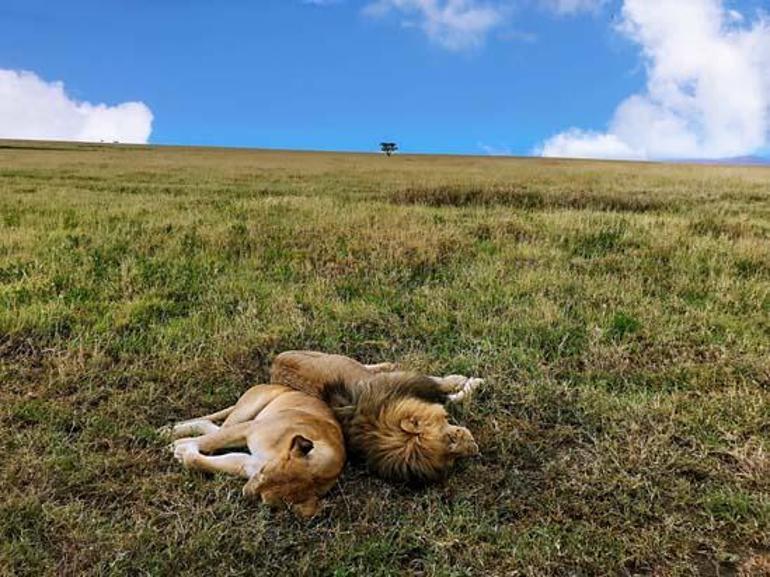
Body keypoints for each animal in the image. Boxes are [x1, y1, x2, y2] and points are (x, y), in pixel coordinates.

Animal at [172, 382, 348, 516]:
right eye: (263, 472)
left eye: (264, 500)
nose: (245, 492)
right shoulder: (249, 429)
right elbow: (210, 441)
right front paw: (179, 446)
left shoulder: (247, 463)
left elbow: (200, 460)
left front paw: (183, 452)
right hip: (246, 412)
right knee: (215, 429)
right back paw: (172, 432)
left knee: (211, 426)